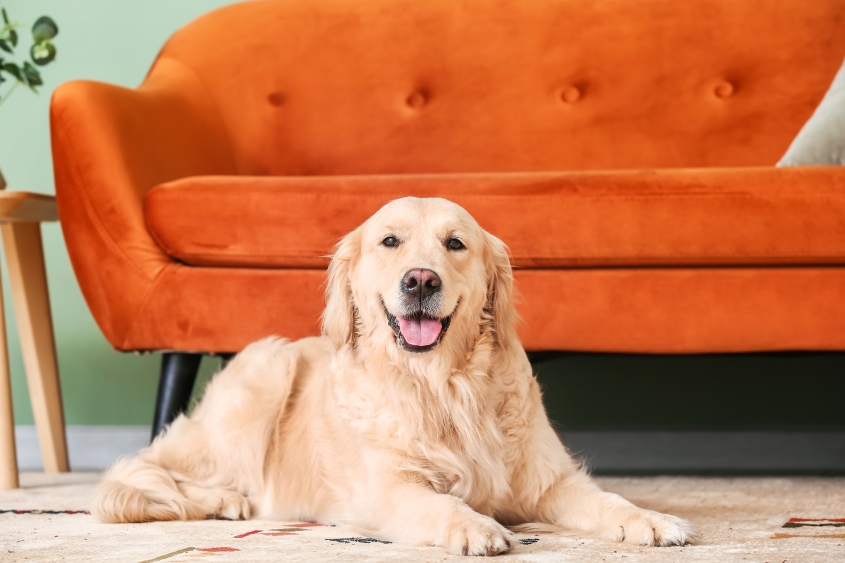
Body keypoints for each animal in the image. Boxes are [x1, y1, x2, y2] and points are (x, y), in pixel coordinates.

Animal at [94, 197, 692, 556]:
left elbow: (608, 501)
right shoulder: (389, 489)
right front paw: (477, 527)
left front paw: (653, 519)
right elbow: (440, 502)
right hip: (264, 376)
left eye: (455, 243)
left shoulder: (550, 481)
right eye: (389, 242)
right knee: (140, 472)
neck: (444, 387)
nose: (420, 280)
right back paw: (223, 501)